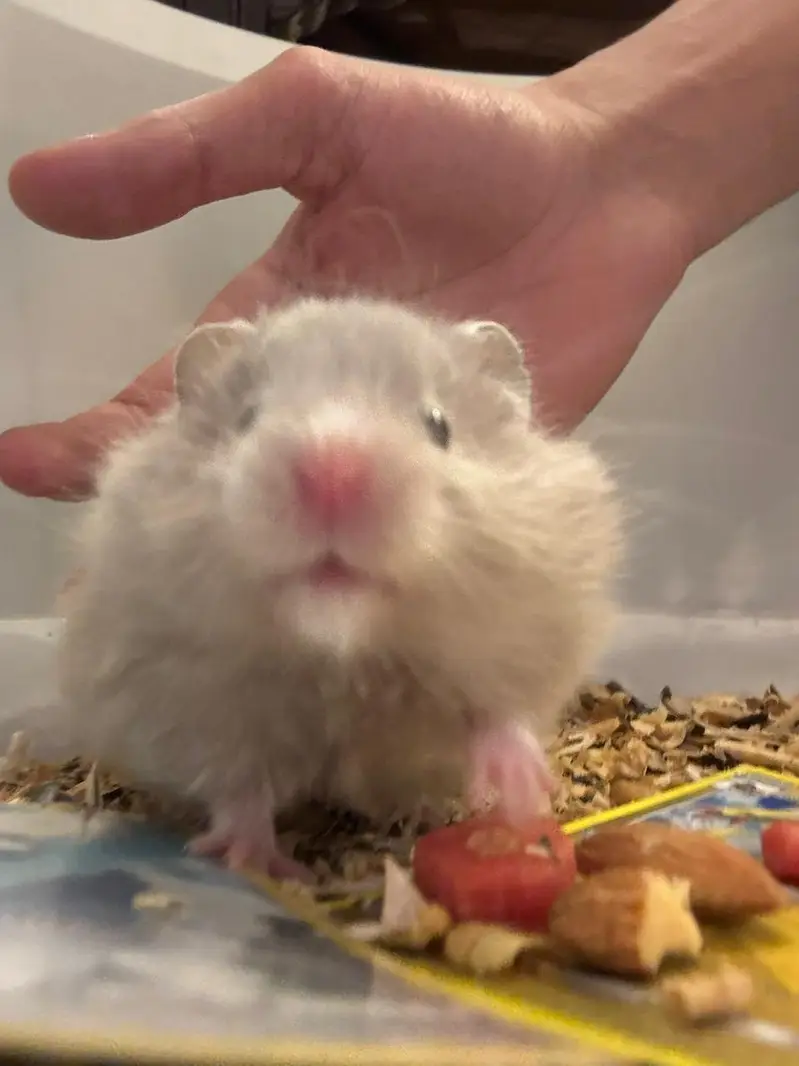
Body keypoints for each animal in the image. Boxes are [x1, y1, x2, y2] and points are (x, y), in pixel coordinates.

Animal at [57, 297, 622, 880]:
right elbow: (238, 784)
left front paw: (523, 796)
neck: (344, 661)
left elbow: (498, 716)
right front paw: (251, 861)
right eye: (246, 419)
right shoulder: (184, 699)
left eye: (440, 426)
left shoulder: (528, 635)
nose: (332, 471)